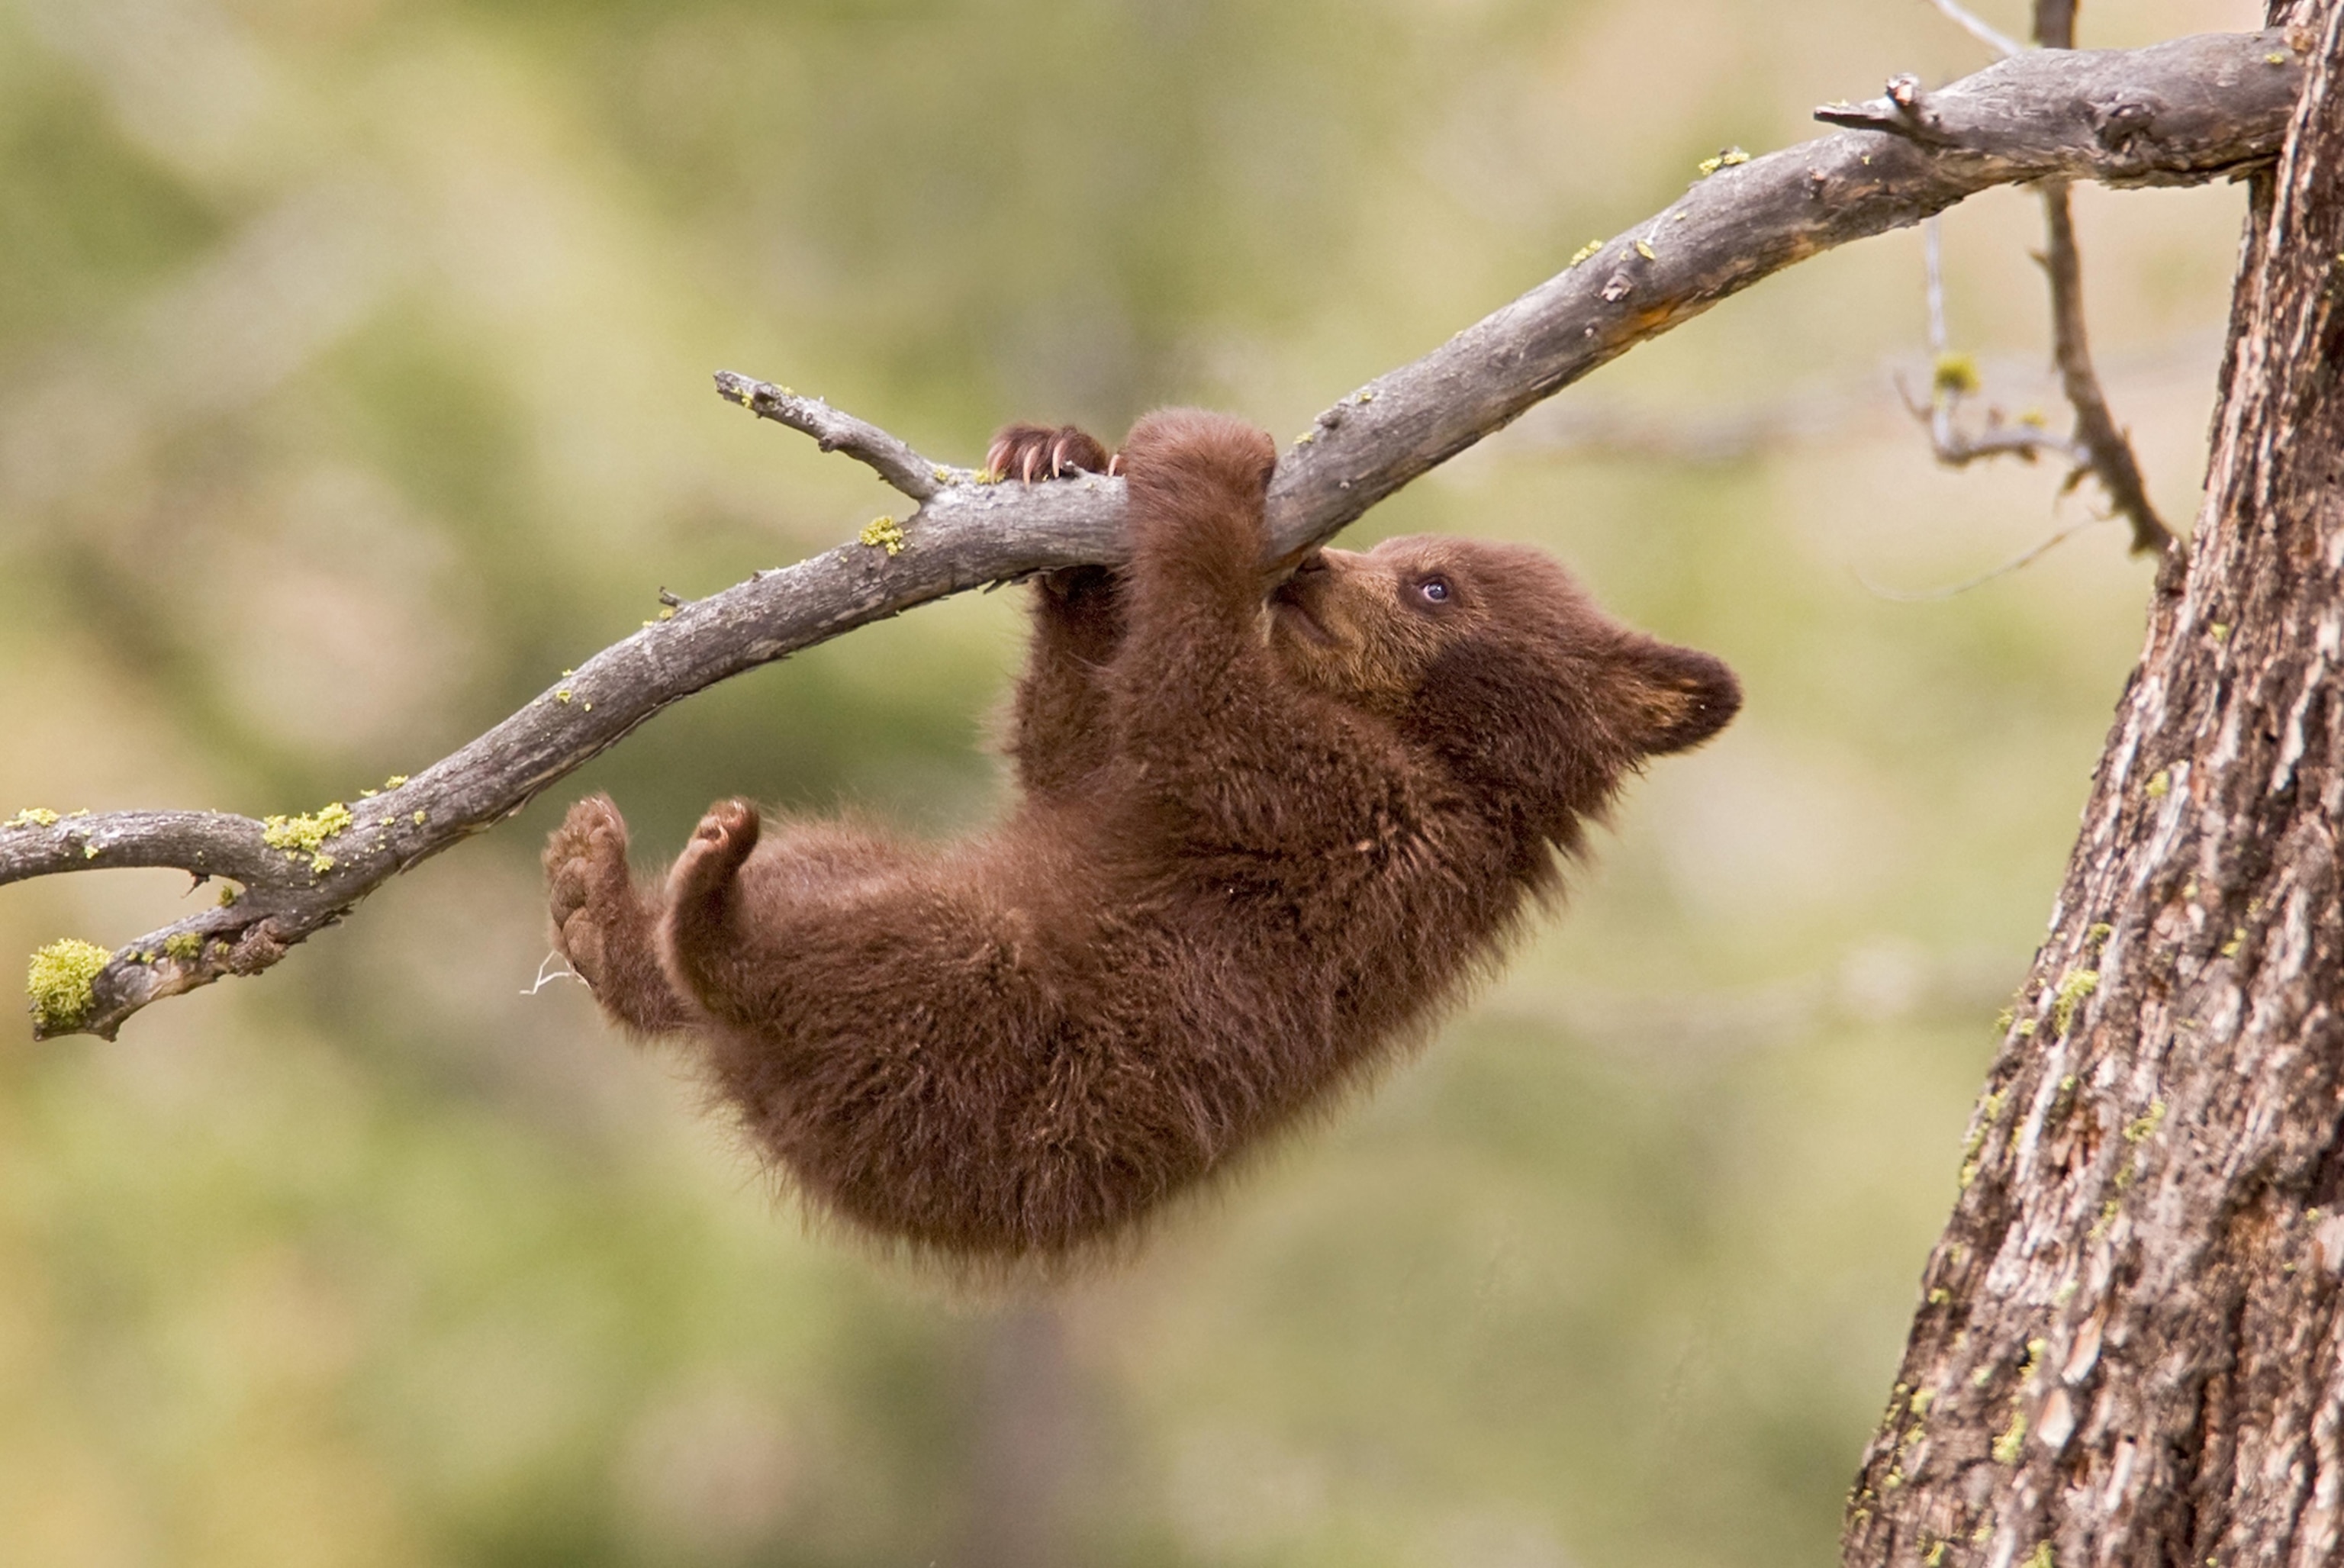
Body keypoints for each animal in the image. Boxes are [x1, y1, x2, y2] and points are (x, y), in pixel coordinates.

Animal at [543, 409, 1739, 1268]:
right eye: (1405, 545)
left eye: (1434, 584)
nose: (1314, 567)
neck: (1449, 759)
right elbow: (1079, 745)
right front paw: (1056, 461)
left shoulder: (1370, 815)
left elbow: (1194, 713)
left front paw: (1204, 464)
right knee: (821, 874)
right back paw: (601, 903)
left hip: (986, 1042)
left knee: (887, 951)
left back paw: (699, 911)